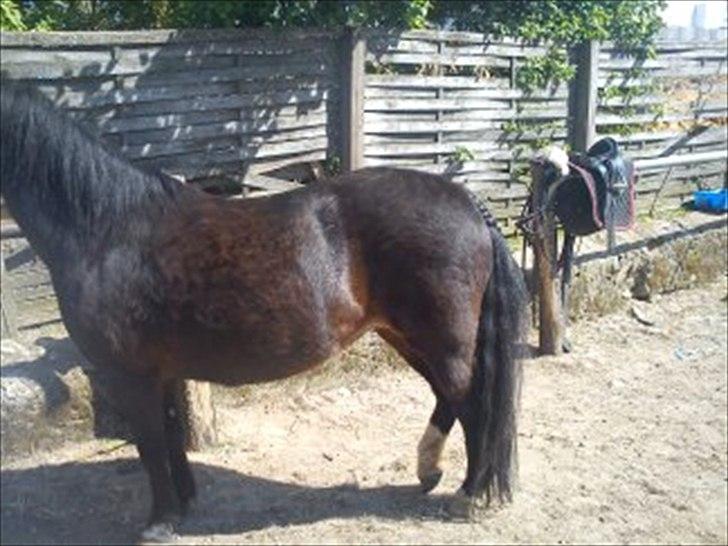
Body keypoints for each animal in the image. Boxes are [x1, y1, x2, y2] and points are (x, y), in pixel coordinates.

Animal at [0, 83, 528, 536]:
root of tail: (466, 201)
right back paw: (430, 472)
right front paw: (185, 503)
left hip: (440, 338)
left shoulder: (131, 375)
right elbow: (171, 436)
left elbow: (151, 444)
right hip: (407, 336)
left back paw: (466, 495)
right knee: (449, 397)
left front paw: (160, 521)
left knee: (472, 403)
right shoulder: (162, 371)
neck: (108, 230)